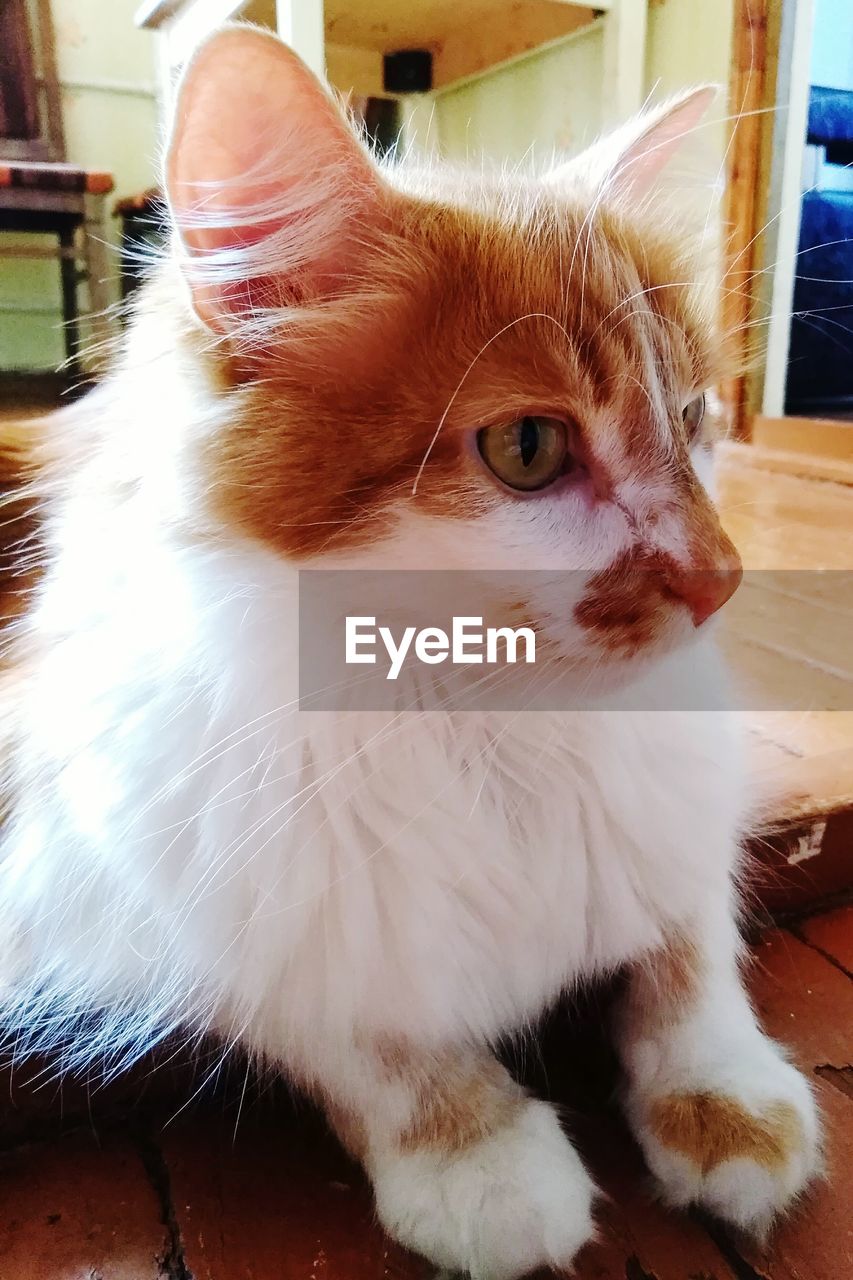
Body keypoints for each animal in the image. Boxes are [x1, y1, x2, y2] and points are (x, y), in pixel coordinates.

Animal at [0, 22, 819, 1280]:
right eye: (528, 448)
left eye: (692, 423)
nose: (722, 580)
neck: (494, 720)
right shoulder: (150, 883)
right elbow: (362, 1030)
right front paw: (476, 1156)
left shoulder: (683, 800)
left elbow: (686, 950)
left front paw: (726, 1099)